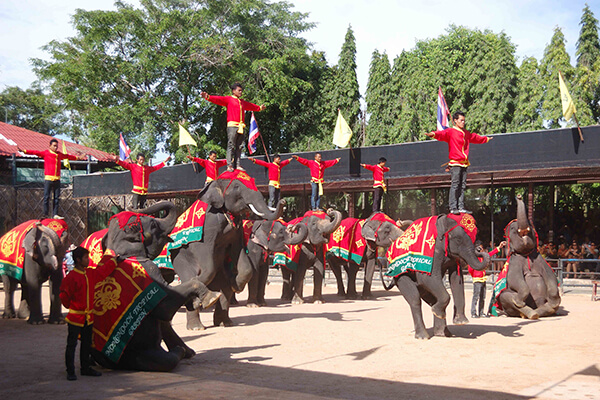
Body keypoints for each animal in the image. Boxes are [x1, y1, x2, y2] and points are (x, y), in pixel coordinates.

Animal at [90, 200, 219, 372]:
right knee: (166, 360)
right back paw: (180, 351)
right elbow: (166, 307)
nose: (135, 206)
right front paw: (211, 298)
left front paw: (196, 302)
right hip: (142, 357)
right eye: (153, 225)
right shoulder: (150, 270)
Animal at [166, 172, 284, 332]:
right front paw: (200, 294)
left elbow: (241, 258)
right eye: (236, 186)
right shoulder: (208, 227)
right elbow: (207, 261)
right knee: (190, 275)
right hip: (179, 257)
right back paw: (197, 327)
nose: (283, 201)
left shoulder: (237, 231)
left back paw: (224, 323)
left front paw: (236, 285)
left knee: (224, 288)